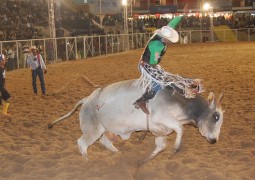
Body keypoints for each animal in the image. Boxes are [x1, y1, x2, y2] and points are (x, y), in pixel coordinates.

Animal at [47, 79, 223, 161]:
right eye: (216, 116)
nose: (214, 140)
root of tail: (87, 99)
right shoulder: (161, 117)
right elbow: (180, 128)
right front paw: (176, 148)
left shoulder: (159, 130)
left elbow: (161, 145)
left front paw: (144, 160)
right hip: (93, 130)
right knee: (82, 143)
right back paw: (88, 161)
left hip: (103, 129)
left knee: (104, 141)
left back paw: (118, 153)